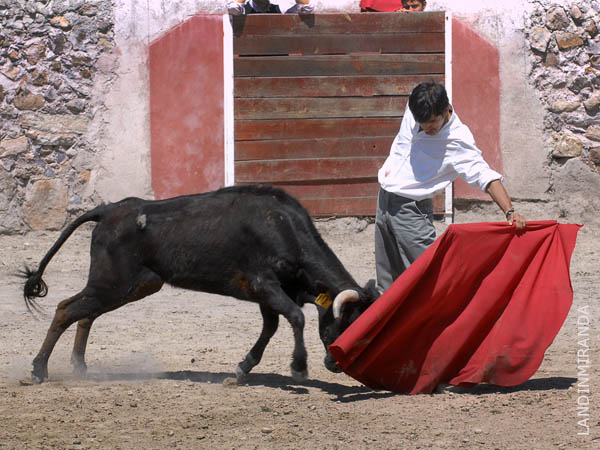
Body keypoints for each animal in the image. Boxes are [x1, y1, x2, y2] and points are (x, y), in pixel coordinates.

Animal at [25, 185, 380, 384]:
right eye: (348, 324)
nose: (335, 364)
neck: (284, 229)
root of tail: (108, 210)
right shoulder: (264, 285)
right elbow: (296, 317)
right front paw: (298, 367)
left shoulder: (268, 295)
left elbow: (271, 327)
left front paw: (242, 369)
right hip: (112, 284)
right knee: (65, 309)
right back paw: (39, 370)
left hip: (128, 287)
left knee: (85, 313)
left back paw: (80, 367)